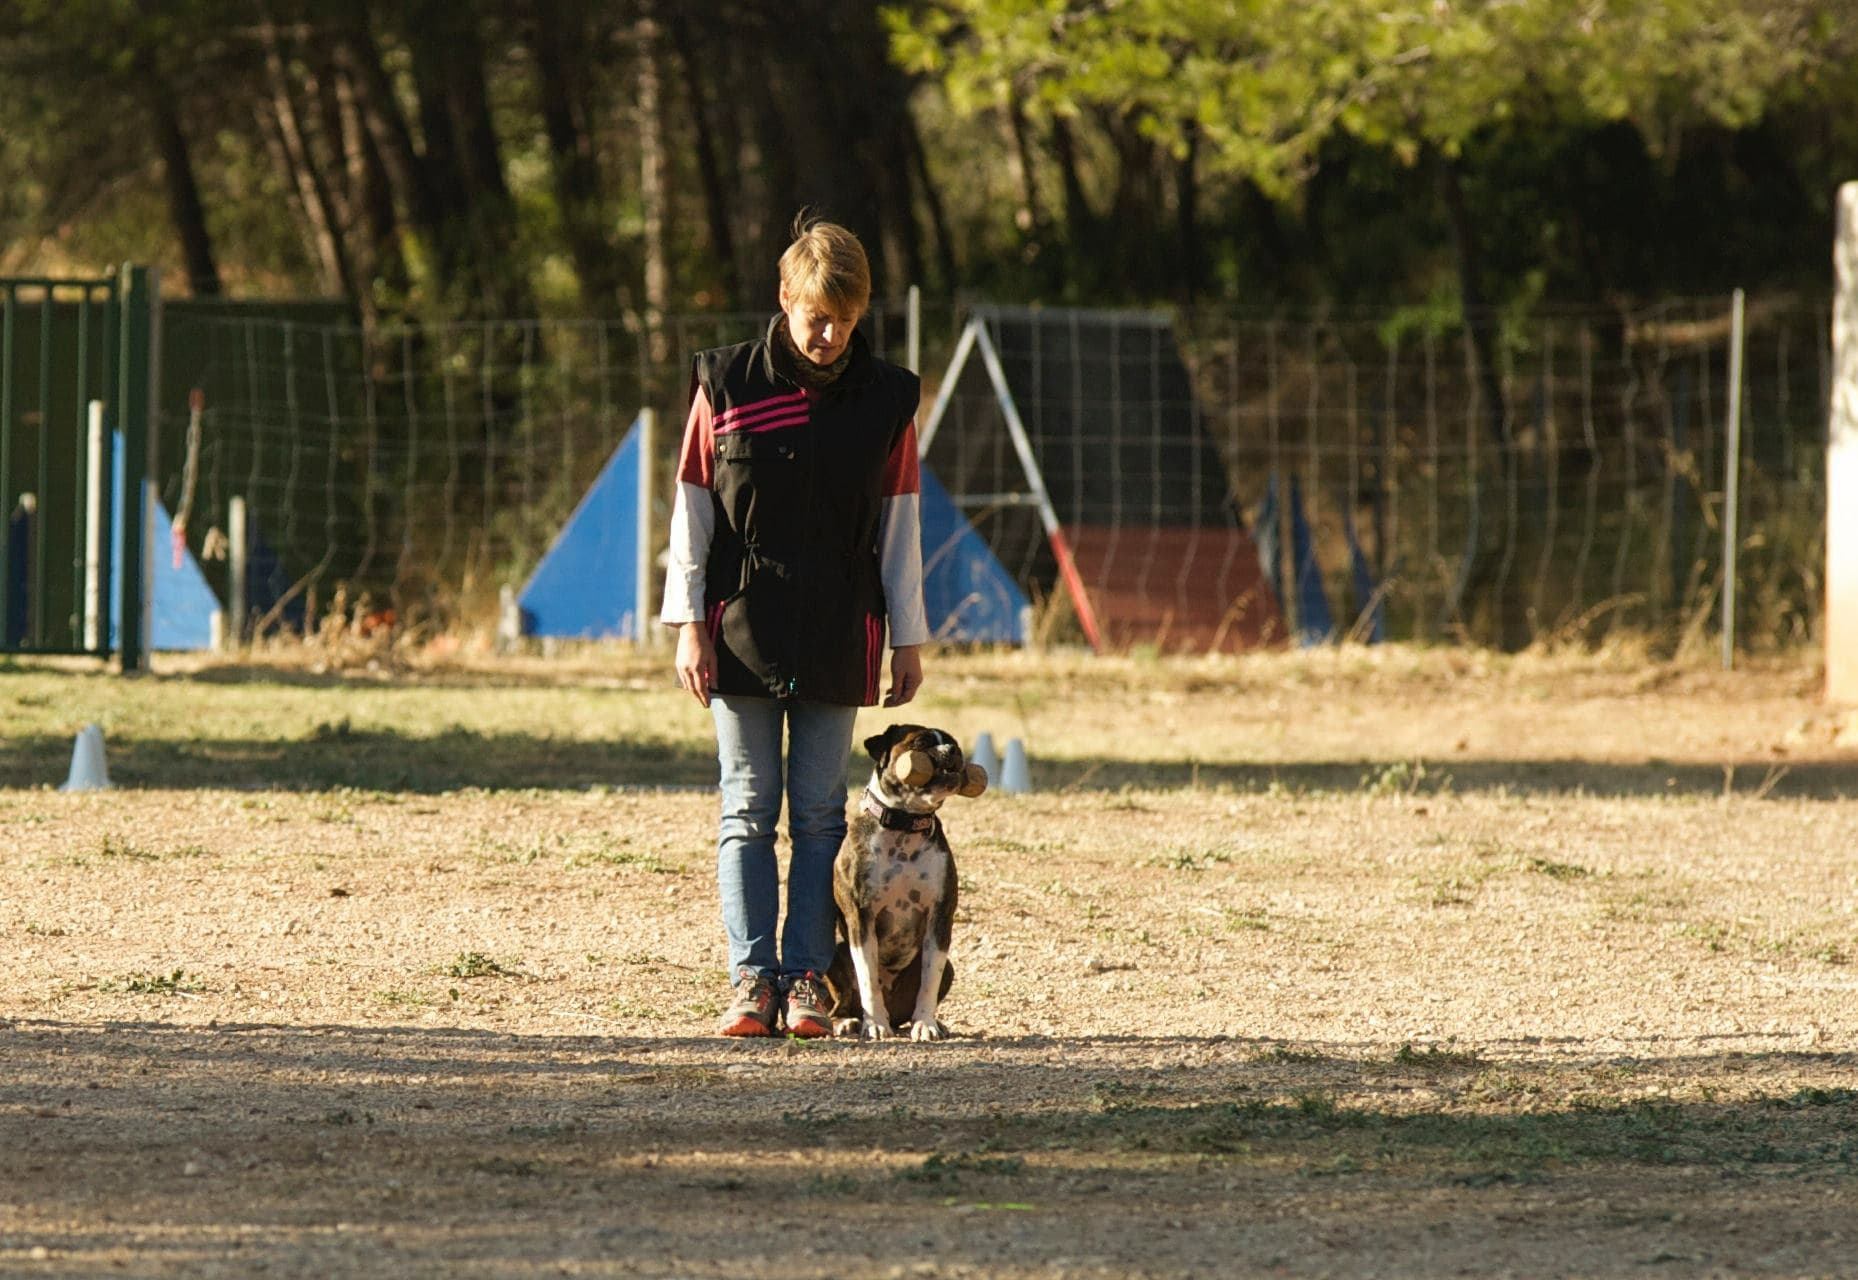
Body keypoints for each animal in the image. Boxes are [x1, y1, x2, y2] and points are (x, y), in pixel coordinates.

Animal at [832, 724, 988, 1032]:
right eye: (921, 742)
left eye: (952, 742)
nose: (952, 750)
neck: (904, 824)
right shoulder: (861, 918)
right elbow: (867, 977)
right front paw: (875, 1023)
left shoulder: (939, 916)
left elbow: (930, 979)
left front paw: (926, 1024)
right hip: (834, 954)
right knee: (837, 1003)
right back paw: (847, 1021)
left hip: (949, 968)